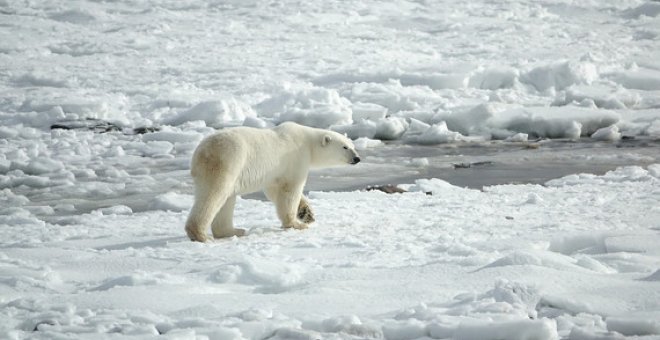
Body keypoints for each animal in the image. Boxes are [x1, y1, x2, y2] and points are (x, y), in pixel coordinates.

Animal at [184, 122, 360, 242]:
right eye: (345, 147)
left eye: (353, 146)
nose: (357, 158)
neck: (308, 142)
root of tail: (200, 152)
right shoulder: (295, 158)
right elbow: (290, 190)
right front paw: (296, 224)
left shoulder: (275, 172)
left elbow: (274, 190)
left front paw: (306, 213)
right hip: (227, 161)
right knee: (214, 195)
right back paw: (201, 235)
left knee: (227, 199)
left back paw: (234, 231)